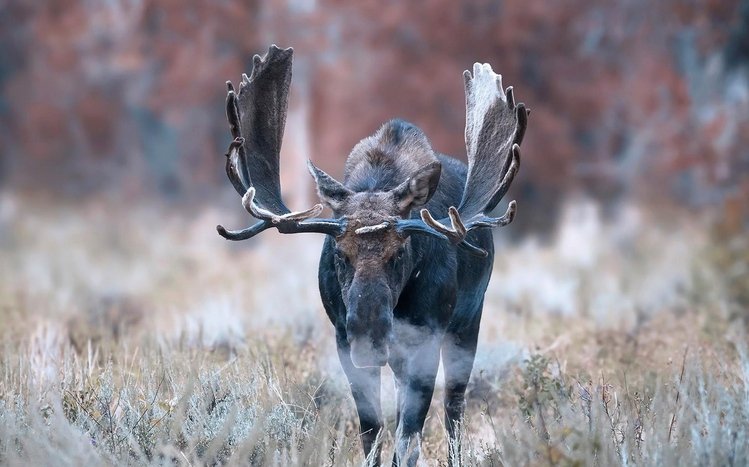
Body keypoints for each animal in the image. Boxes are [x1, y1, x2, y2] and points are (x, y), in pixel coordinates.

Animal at [216, 45, 528, 466]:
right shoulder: (342, 340)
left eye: (400, 254)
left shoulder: (427, 338)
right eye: (339, 254)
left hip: (467, 323)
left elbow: (408, 435)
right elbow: (372, 431)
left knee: (454, 409)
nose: (369, 332)